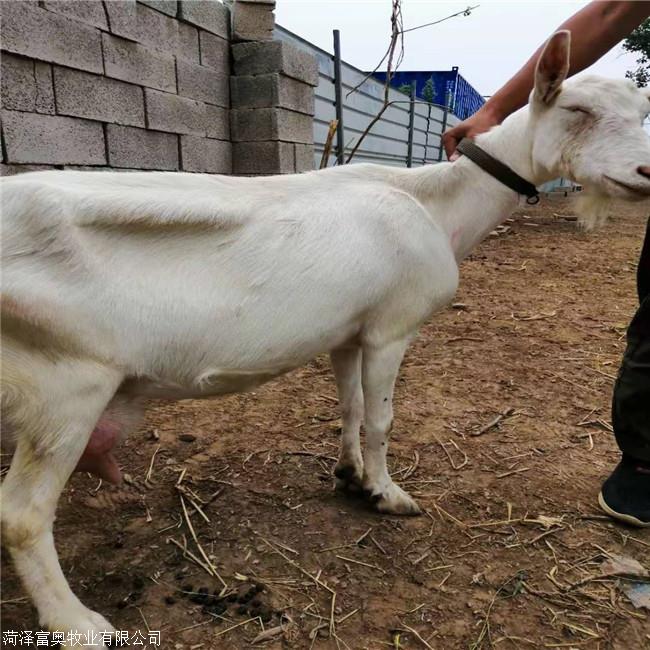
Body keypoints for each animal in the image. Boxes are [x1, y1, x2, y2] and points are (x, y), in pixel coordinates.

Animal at [1, 31, 648, 636]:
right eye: (577, 110)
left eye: (641, 112)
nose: (645, 171)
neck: (434, 203)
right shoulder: (391, 327)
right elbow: (382, 417)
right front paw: (387, 494)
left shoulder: (348, 332)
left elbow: (351, 406)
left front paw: (349, 474)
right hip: (67, 386)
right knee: (23, 516)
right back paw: (76, 623)